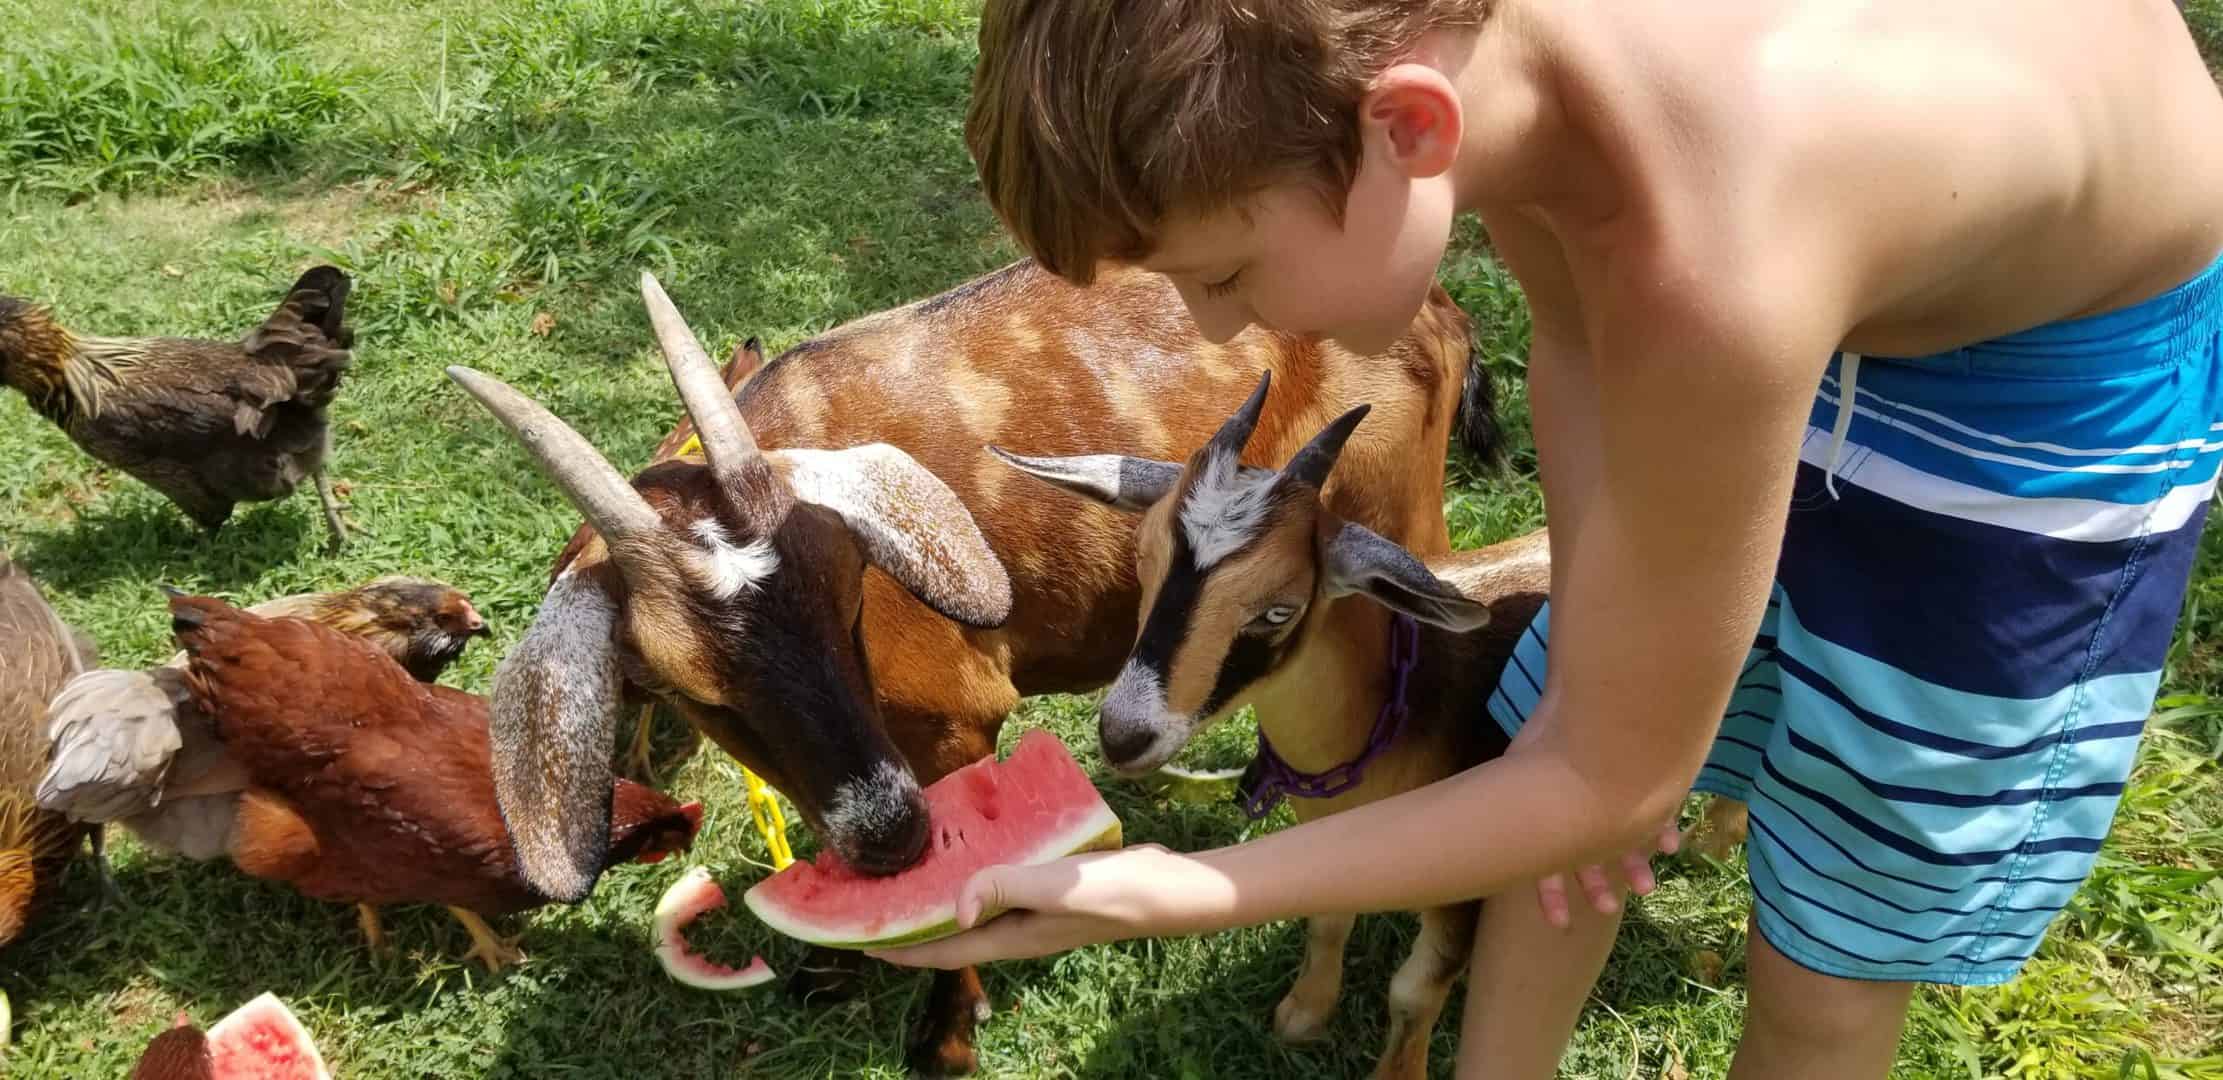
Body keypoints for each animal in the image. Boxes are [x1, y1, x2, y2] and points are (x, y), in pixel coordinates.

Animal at [446, 257, 1493, 1075]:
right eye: (683, 687)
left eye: (850, 595)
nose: (892, 834)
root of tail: (1443, 312)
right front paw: (841, 964)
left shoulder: (954, 717)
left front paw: (949, 1030)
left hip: (1398, 518)